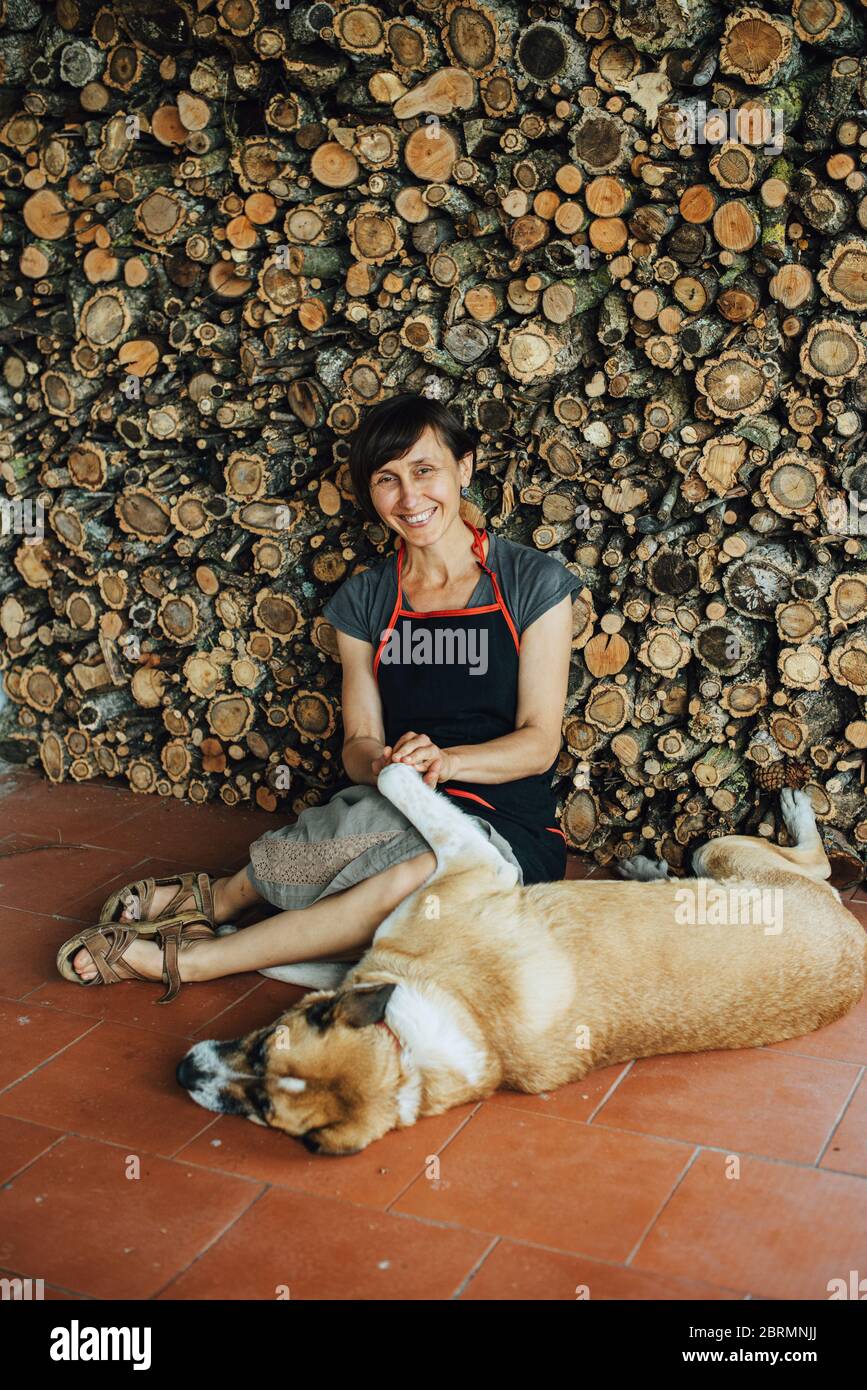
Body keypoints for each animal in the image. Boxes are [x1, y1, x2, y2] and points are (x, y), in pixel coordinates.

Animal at [177, 767, 867, 1156]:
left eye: (264, 1095)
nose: (184, 1073)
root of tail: (855, 945)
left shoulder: (474, 860)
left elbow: (400, 779)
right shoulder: (379, 958)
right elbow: (304, 965)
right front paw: (228, 936)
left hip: (723, 852)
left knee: (817, 863)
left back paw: (796, 811)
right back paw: (651, 870)